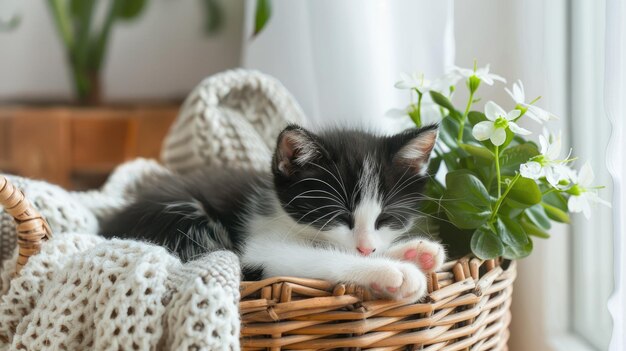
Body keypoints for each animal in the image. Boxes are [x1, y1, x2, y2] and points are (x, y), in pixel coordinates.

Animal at [100, 125, 444, 302]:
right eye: (339, 217)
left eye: (385, 219)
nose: (365, 248)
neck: (282, 213)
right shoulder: (259, 247)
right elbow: (320, 257)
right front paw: (393, 272)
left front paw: (415, 252)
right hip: (182, 217)